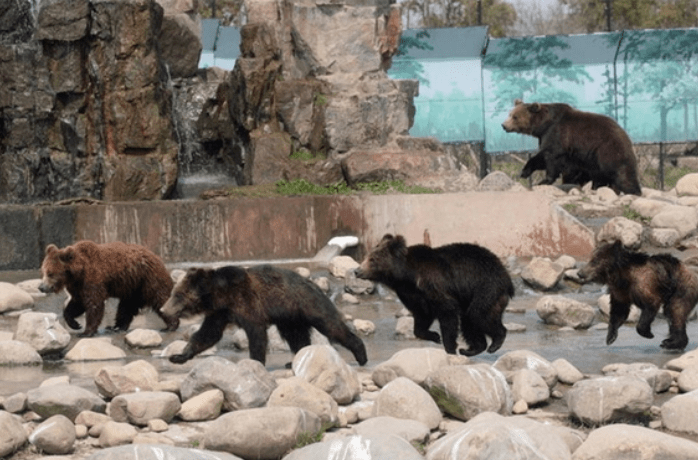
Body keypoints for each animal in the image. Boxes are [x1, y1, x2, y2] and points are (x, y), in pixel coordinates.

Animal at [38, 243, 178, 336]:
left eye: (50, 273)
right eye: (43, 271)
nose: (41, 287)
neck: (77, 273)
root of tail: (158, 258)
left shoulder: (92, 280)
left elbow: (94, 304)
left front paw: (86, 331)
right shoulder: (78, 286)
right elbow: (77, 304)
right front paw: (75, 324)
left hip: (148, 280)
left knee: (160, 298)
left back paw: (170, 326)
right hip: (133, 288)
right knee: (126, 307)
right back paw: (116, 327)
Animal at [160, 266, 368, 366]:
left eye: (177, 295)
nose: (163, 309)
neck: (221, 296)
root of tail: (313, 284)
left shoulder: (247, 304)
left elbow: (256, 334)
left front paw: (255, 361)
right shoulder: (220, 313)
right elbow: (208, 334)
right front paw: (179, 356)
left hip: (307, 303)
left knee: (330, 325)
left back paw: (361, 354)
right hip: (290, 317)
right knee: (296, 336)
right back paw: (295, 359)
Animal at [354, 234, 512, 356]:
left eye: (372, 259)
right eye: (366, 256)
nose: (356, 271)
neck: (407, 276)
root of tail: (505, 275)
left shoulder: (433, 284)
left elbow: (447, 312)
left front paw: (449, 347)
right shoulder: (411, 294)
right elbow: (421, 316)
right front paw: (434, 336)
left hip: (486, 287)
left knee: (478, 315)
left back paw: (495, 341)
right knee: (469, 321)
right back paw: (472, 349)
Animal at [500, 99, 640, 195]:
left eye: (515, 116)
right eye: (510, 114)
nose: (504, 125)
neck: (543, 125)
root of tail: (627, 137)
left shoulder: (557, 135)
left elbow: (551, 159)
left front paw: (544, 181)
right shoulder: (549, 139)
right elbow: (541, 158)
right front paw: (524, 172)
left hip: (607, 151)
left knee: (621, 174)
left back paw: (631, 190)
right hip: (593, 160)